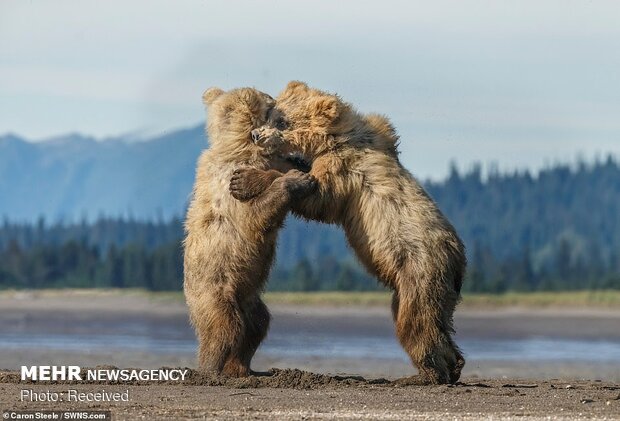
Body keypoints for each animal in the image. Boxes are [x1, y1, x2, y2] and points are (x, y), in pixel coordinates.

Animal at [182, 87, 312, 376]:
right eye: (271, 103)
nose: (279, 102)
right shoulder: (229, 189)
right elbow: (254, 216)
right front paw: (295, 180)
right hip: (215, 291)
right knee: (225, 327)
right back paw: (211, 368)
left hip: (249, 295)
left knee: (257, 324)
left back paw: (242, 368)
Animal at [230, 81, 468, 384]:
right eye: (271, 115)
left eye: (282, 121)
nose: (255, 133)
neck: (336, 138)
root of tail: (459, 260)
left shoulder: (345, 171)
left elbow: (318, 195)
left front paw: (243, 180)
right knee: (432, 321)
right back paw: (453, 366)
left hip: (420, 269)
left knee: (416, 321)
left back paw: (429, 373)